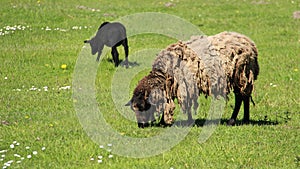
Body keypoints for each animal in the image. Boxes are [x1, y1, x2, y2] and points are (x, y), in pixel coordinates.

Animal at [126, 31, 258, 127]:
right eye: (133, 109)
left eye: (142, 107)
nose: (140, 125)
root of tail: (248, 42)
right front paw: (164, 121)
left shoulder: (185, 86)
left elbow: (185, 105)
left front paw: (185, 121)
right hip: (242, 78)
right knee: (243, 97)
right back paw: (244, 119)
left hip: (241, 75)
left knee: (241, 98)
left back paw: (234, 120)